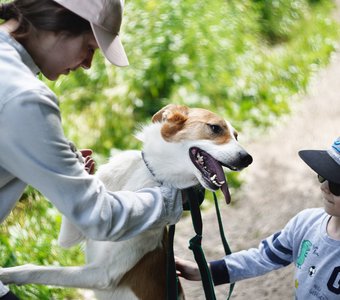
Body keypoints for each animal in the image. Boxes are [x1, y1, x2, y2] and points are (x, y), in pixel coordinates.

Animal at [0, 104, 252, 298]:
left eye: (237, 136)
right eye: (215, 128)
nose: (247, 159)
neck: (150, 176)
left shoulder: (101, 273)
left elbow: (35, 270)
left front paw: (5, 274)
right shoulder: (74, 228)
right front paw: (78, 158)